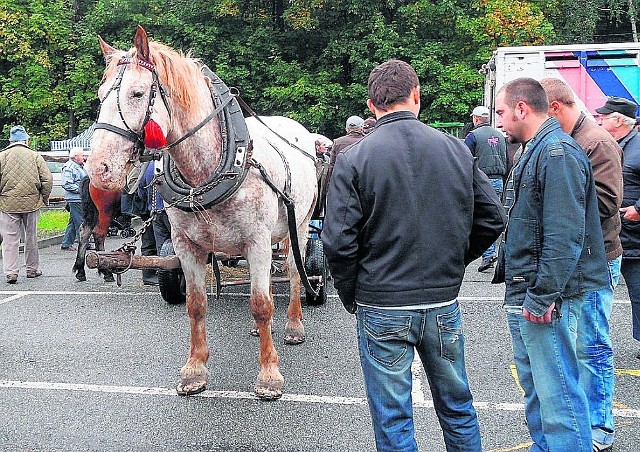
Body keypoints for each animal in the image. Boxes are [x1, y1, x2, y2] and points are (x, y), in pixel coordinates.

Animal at [87, 25, 318, 400]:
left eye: (137, 93)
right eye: (100, 94)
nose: (97, 169)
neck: (210, 169)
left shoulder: (257, 241)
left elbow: (261, 305)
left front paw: (269, 374)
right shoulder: (186, 245)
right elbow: (196, 305)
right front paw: (195, 369)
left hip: (298, 225)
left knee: (296, 272)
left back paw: (294, 324)